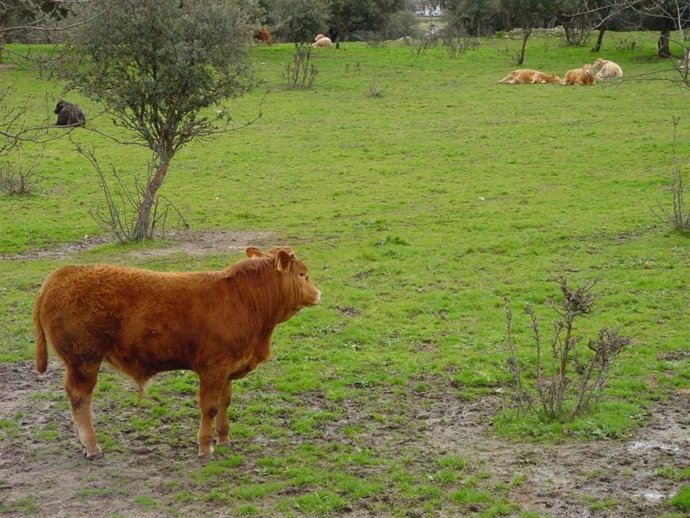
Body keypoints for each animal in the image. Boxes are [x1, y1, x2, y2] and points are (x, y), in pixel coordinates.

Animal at [34, 246, 321, 459]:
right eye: (303, 274)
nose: (319, 293)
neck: (243, 300)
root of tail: (63, 273)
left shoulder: (227, 368)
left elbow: (225, 402)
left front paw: (224, 438)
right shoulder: (212, 368)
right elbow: (209, 407)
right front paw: (205, 447)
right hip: (84, 360)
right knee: (80, 398)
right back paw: (91, 445)